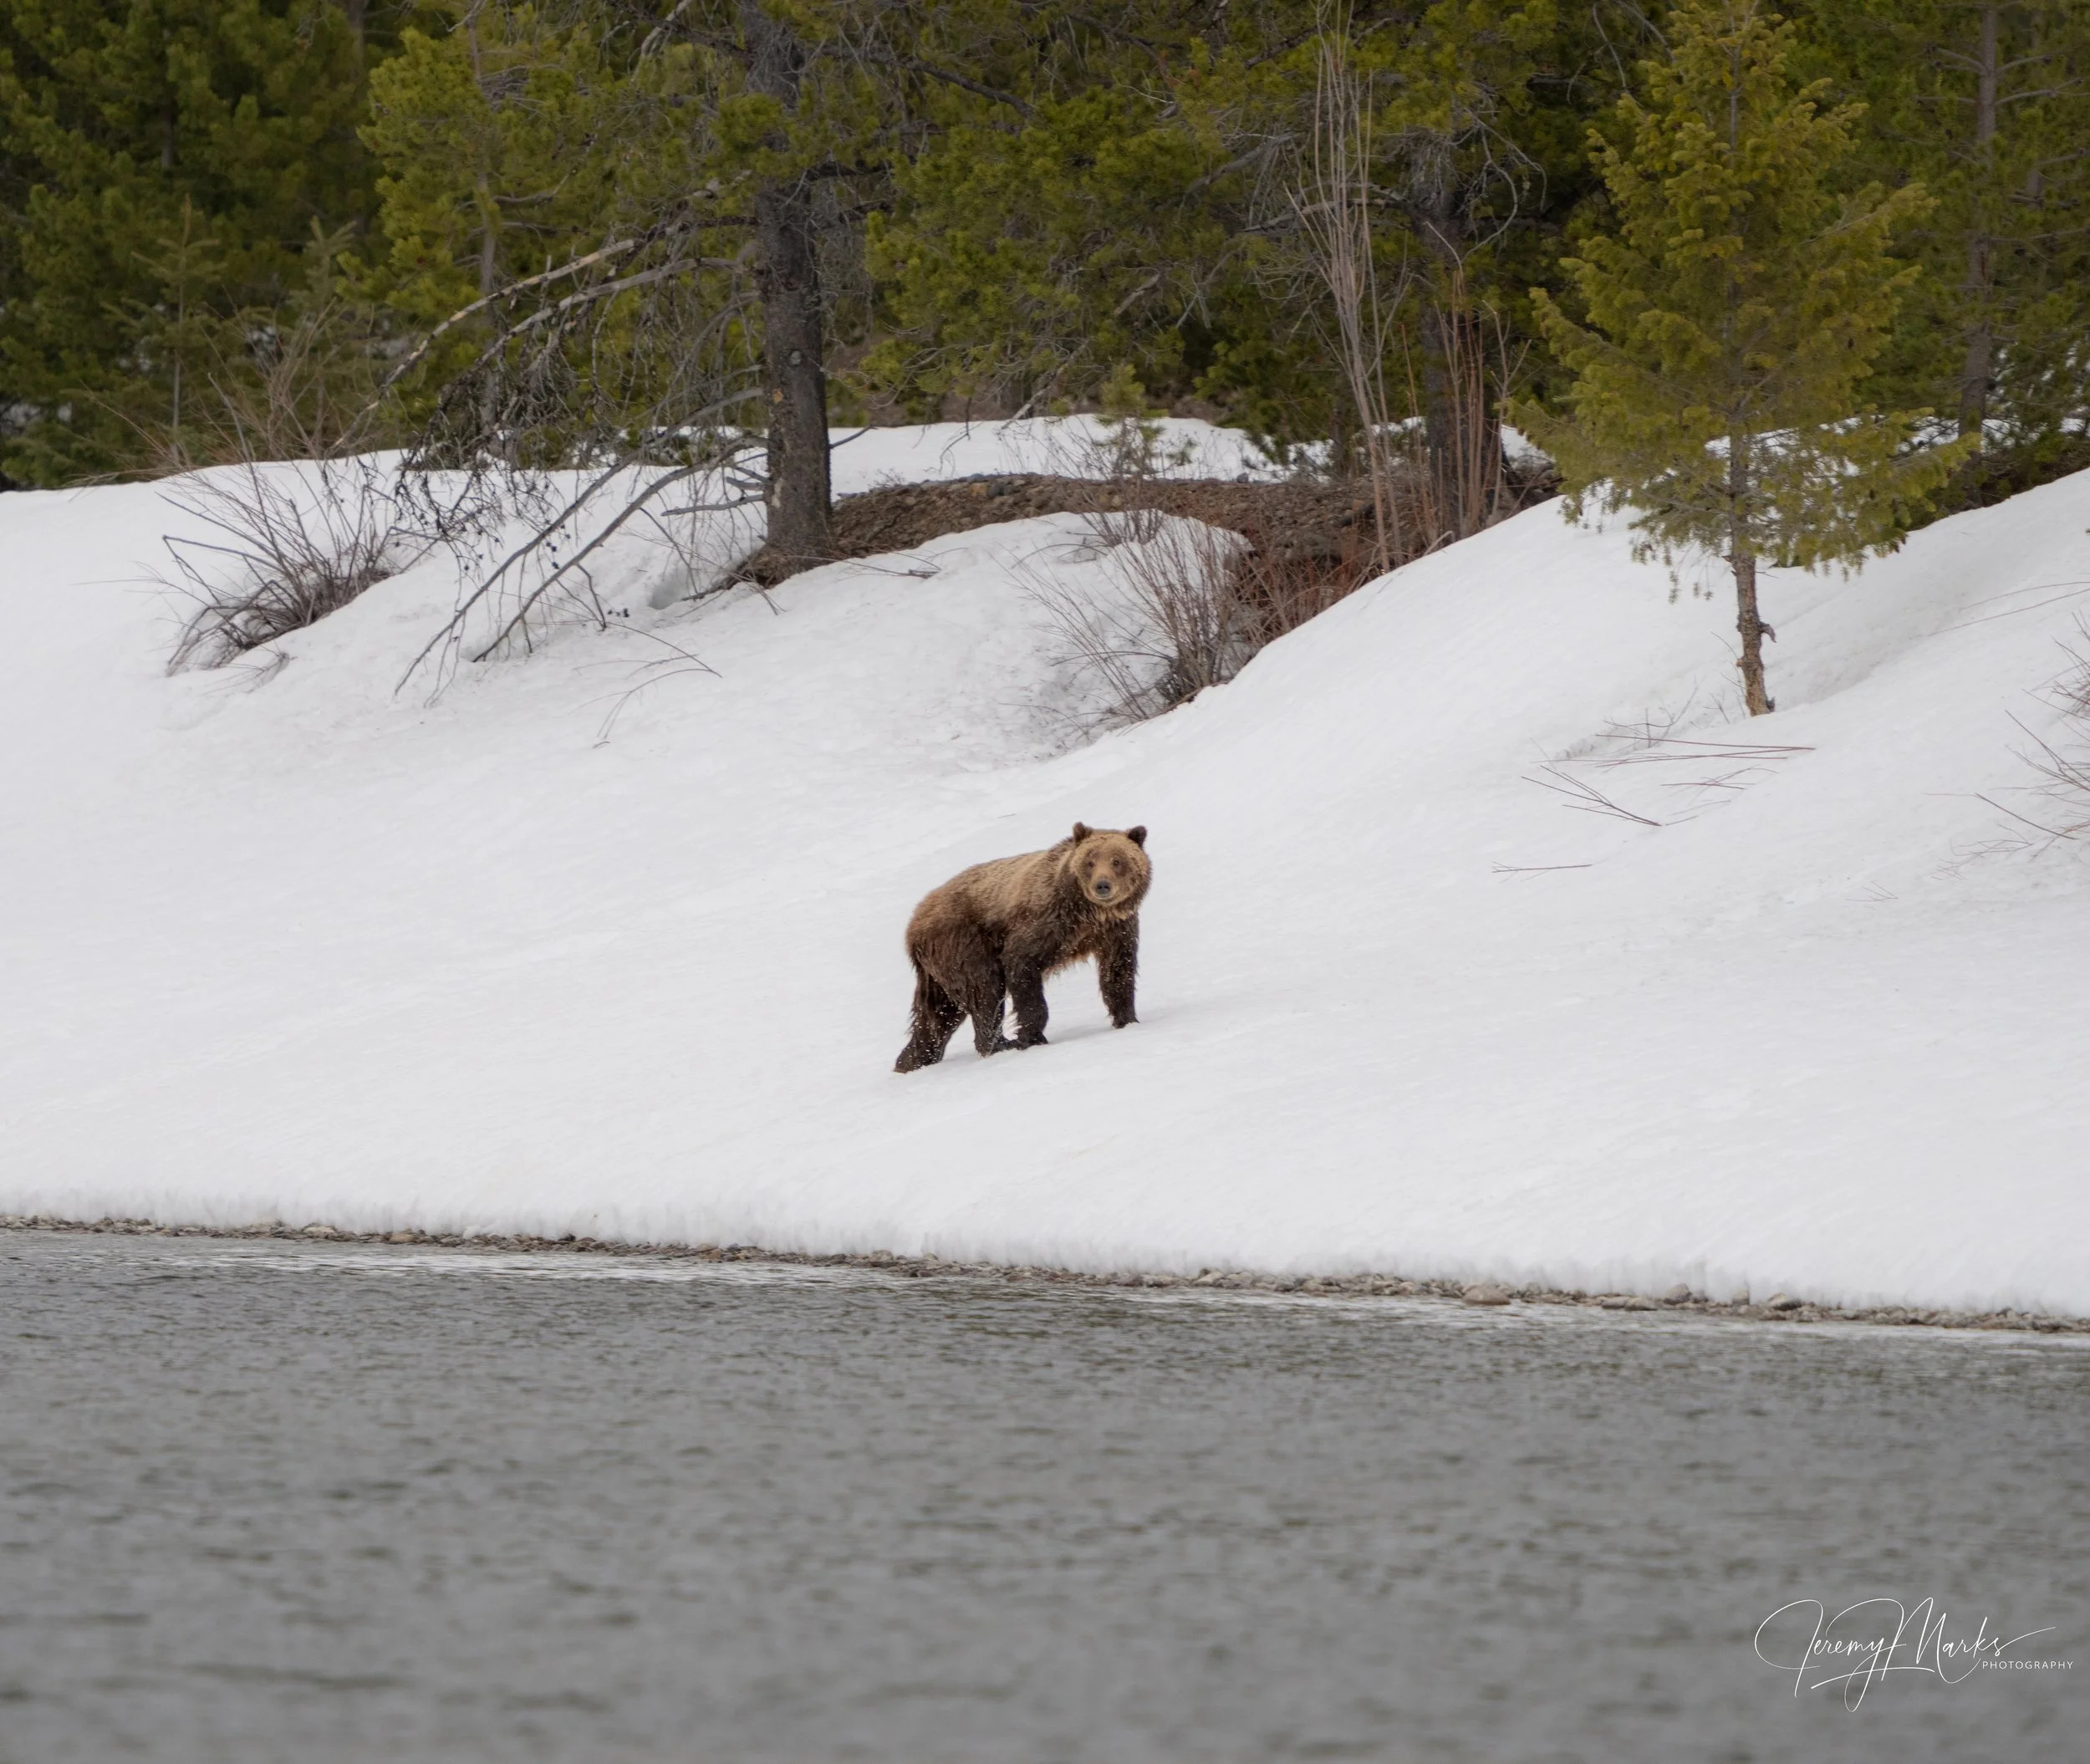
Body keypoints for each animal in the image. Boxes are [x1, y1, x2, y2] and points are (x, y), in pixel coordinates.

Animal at [894, 822, 1151, 1072]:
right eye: (1090, 861)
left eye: (1117, 861)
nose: (1102, 886)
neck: (1087, 913)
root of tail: (914, 924)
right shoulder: (1044, 922)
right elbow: (1021, 966)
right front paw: (1031, 1037)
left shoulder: (1116, 930)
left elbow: (1117, 972)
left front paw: (1127, 1019)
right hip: (963, 944)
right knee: (985, 992)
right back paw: (998, 1045)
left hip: (938, 969)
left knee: (937, 1015)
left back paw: (911, 1060)